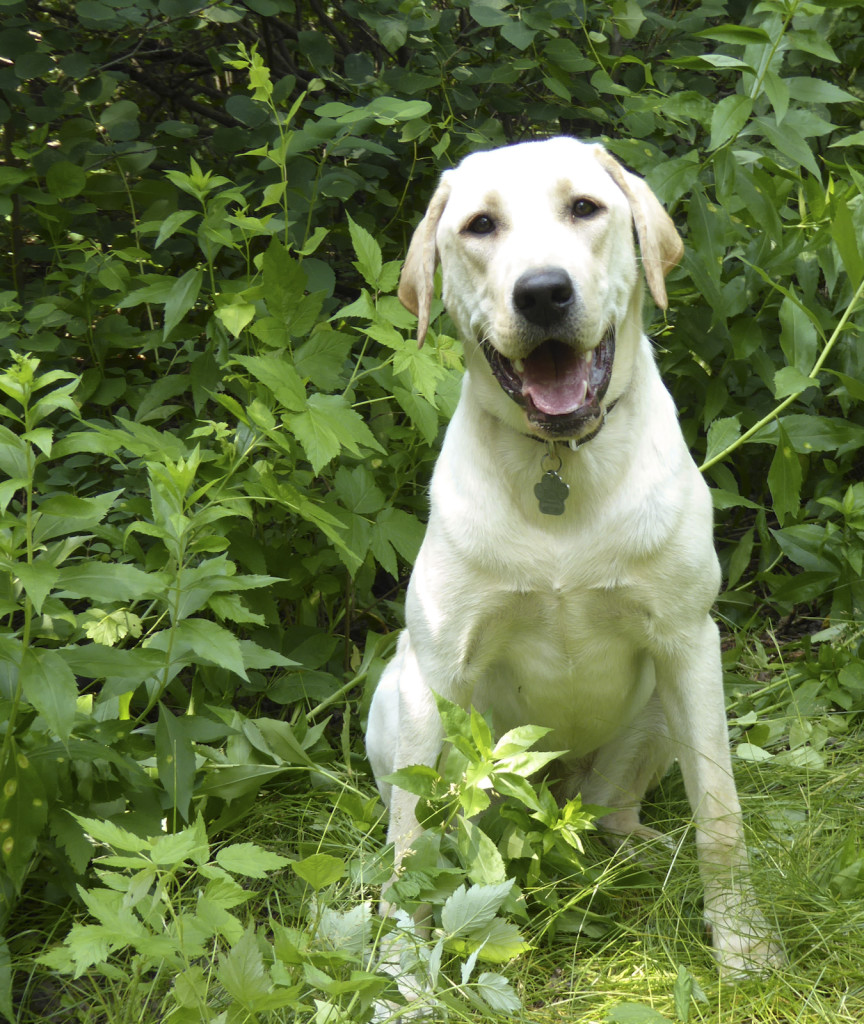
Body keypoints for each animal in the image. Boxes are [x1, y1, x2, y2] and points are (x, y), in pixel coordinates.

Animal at [364, 138, 782, 974]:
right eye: (480, 225)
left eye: (584, 208)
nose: (543, 293)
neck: (560, 464)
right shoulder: (437, 669)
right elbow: (411, 846)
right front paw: (399, 971)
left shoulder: (690, 643)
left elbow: (722, 813)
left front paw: (742, 944)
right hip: (396, 697)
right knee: (440, 826)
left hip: (660, 713)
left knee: (615, 815)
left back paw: (647, 853)